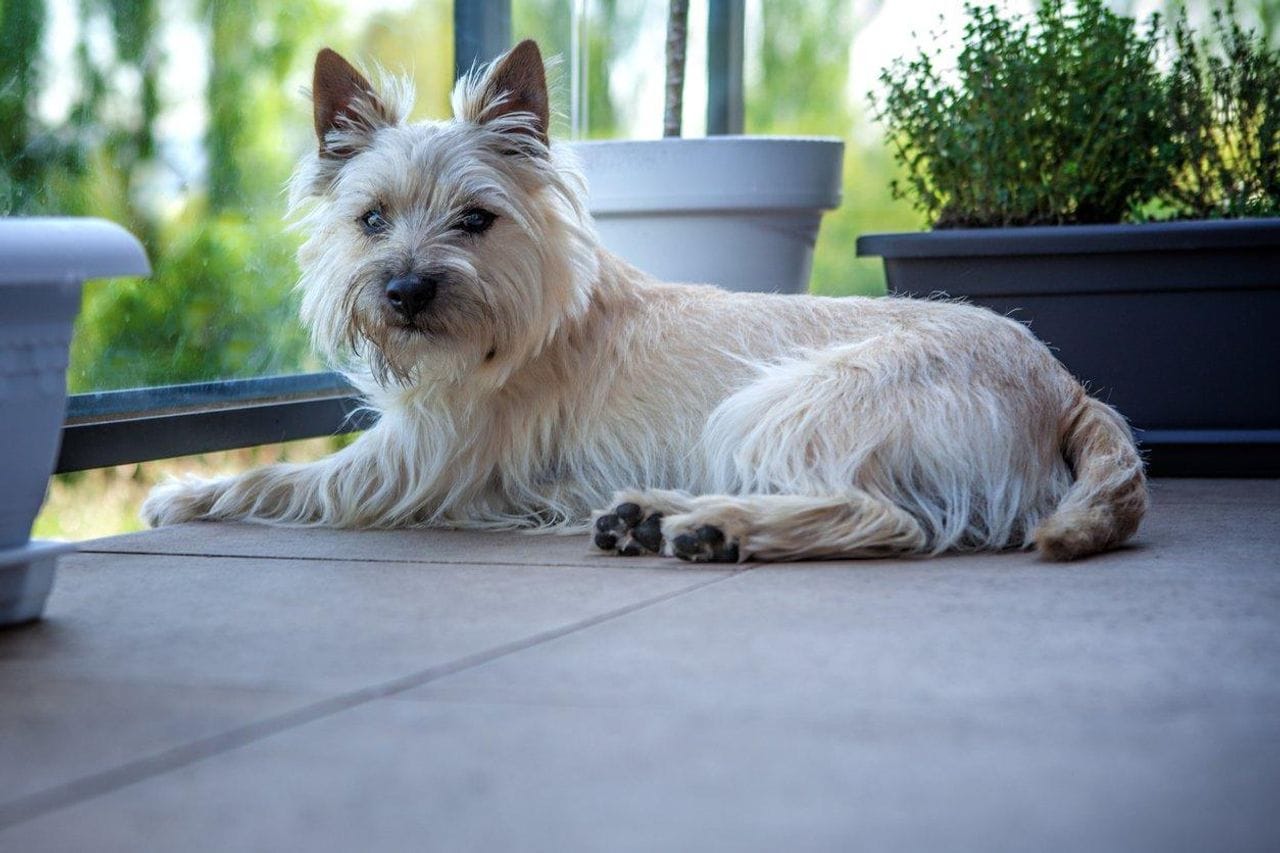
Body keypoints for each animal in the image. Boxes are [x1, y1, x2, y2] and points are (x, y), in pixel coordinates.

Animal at [142, 39, 1152, 560]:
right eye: (372, 218)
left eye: (475, 219)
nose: (406, 290)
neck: (523, 322)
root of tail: (1066, 386)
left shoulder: (408, 462)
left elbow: (281, 476)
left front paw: (185, 492)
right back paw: (651, 515)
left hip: (782, 403)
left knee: (881, 517)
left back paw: (715, 526)